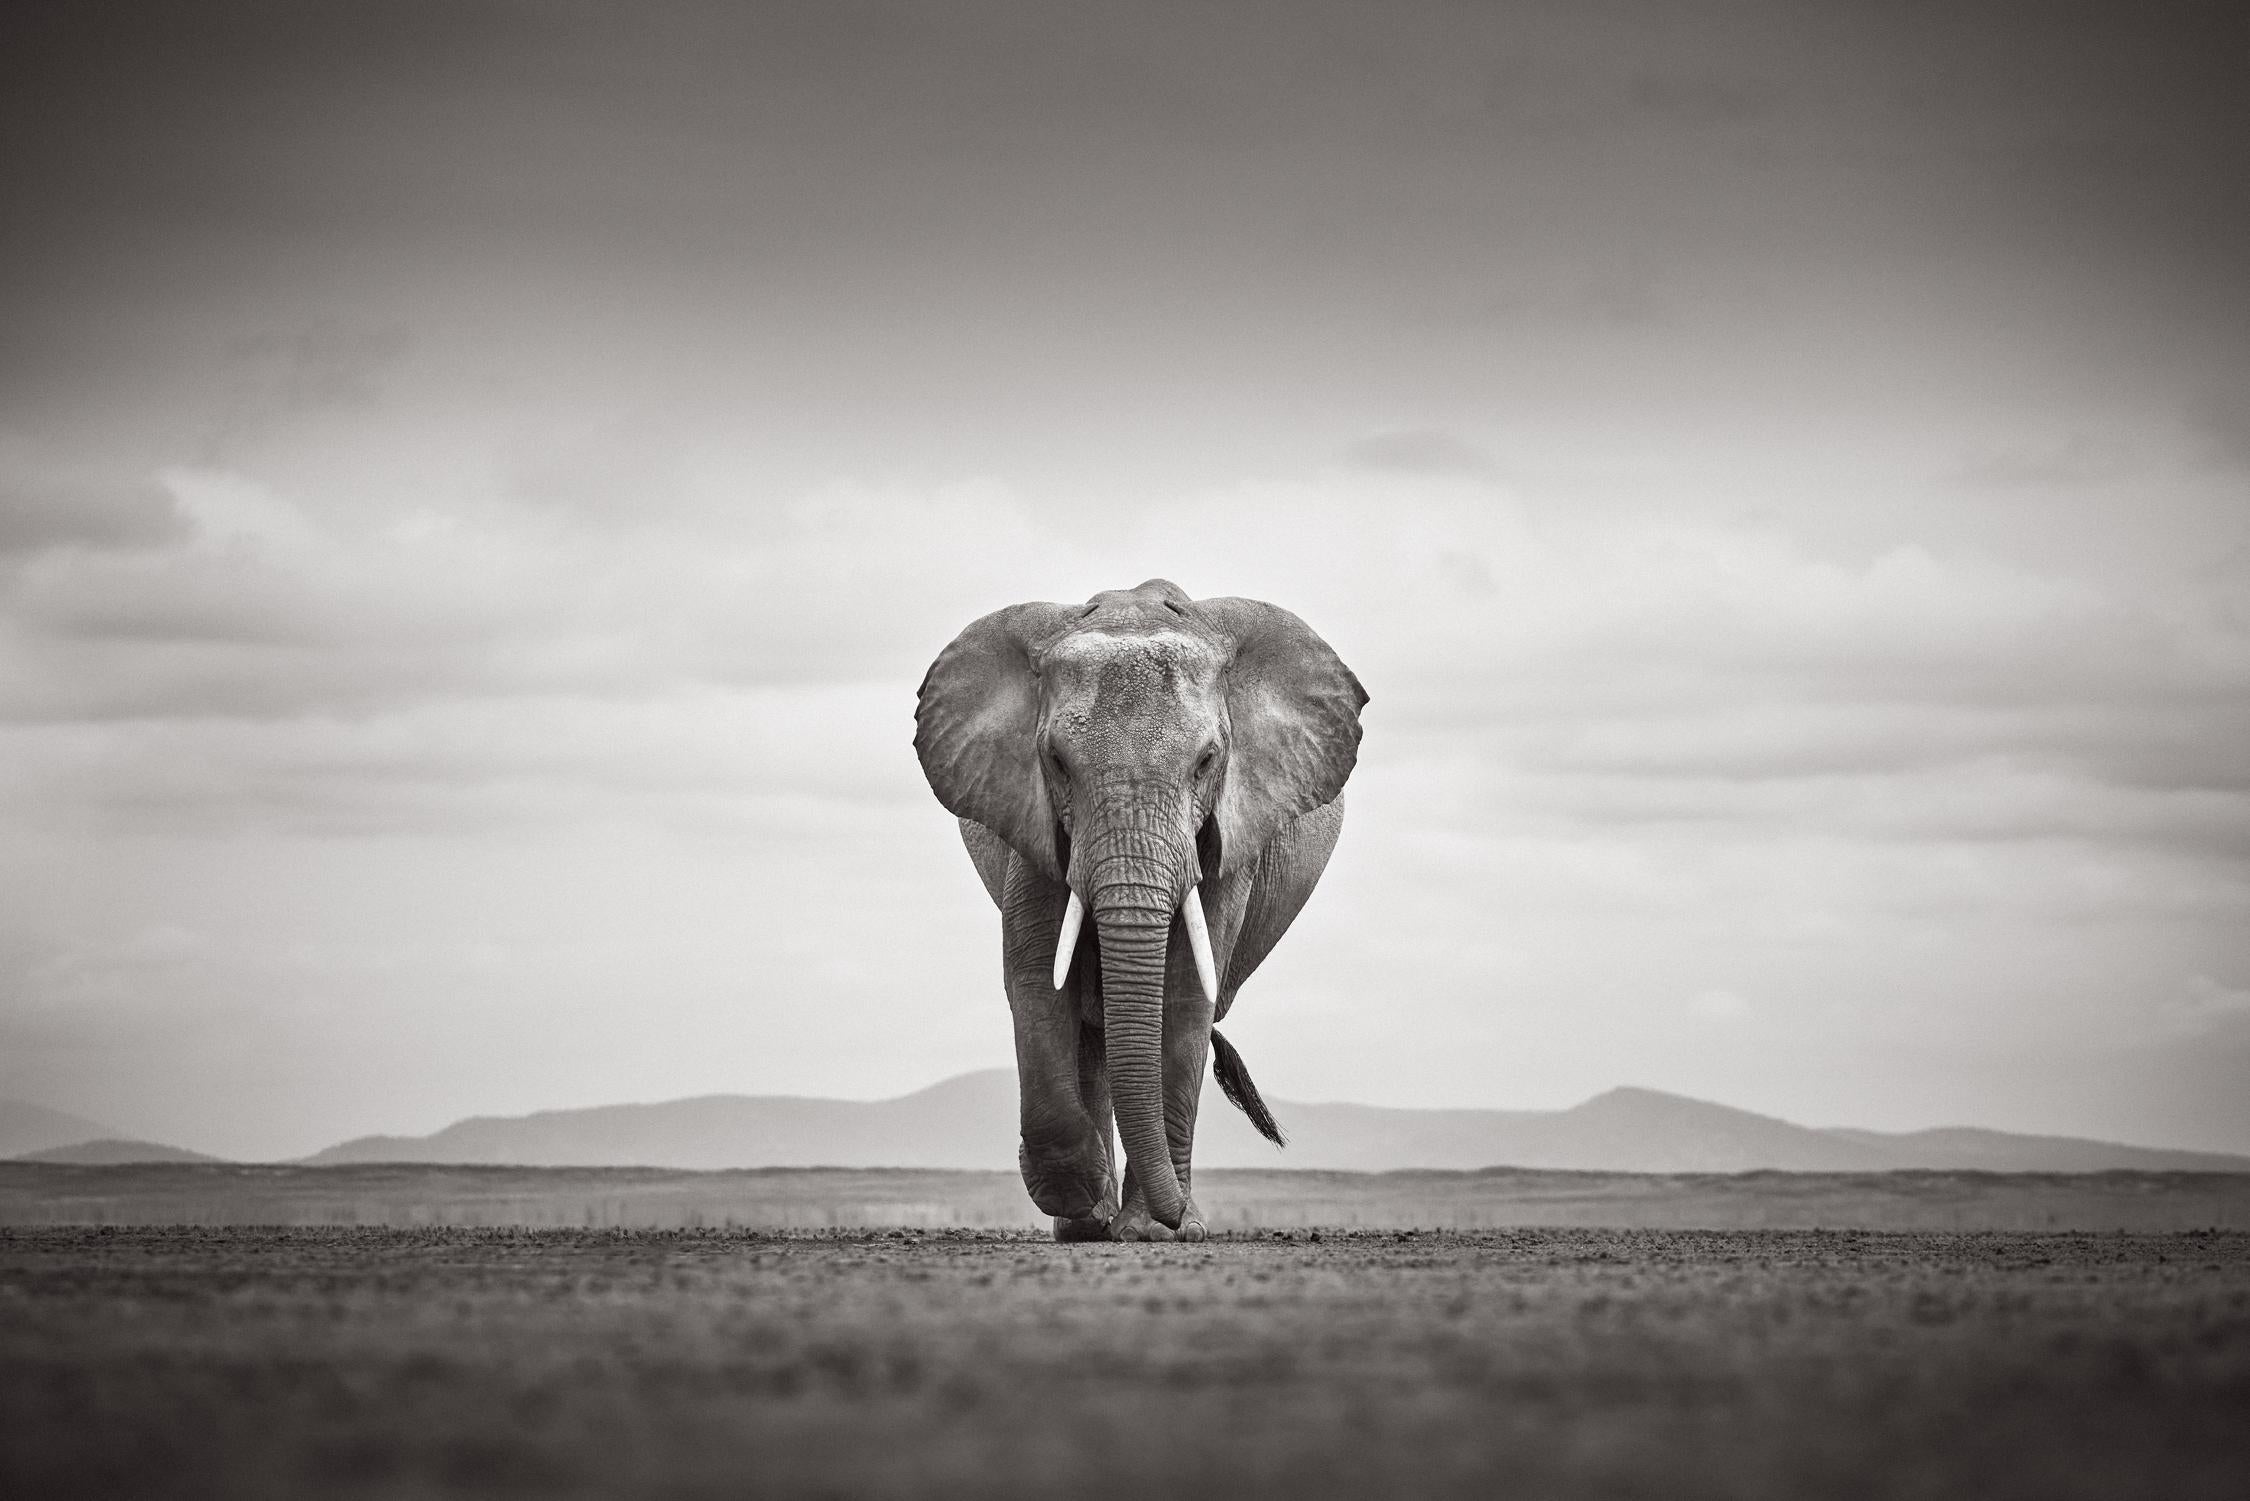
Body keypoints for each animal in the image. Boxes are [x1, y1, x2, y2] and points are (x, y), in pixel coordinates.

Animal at [914, 578, 1367, 1241]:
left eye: (1207, 762)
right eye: (1056, 762)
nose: (1179, 1219)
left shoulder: (1227, 837)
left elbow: (1183, 995)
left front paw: (1159, 1230)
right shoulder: (1030, 816)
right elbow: (1035, 977)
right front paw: (1082, 1195)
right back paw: (1088, 1223)